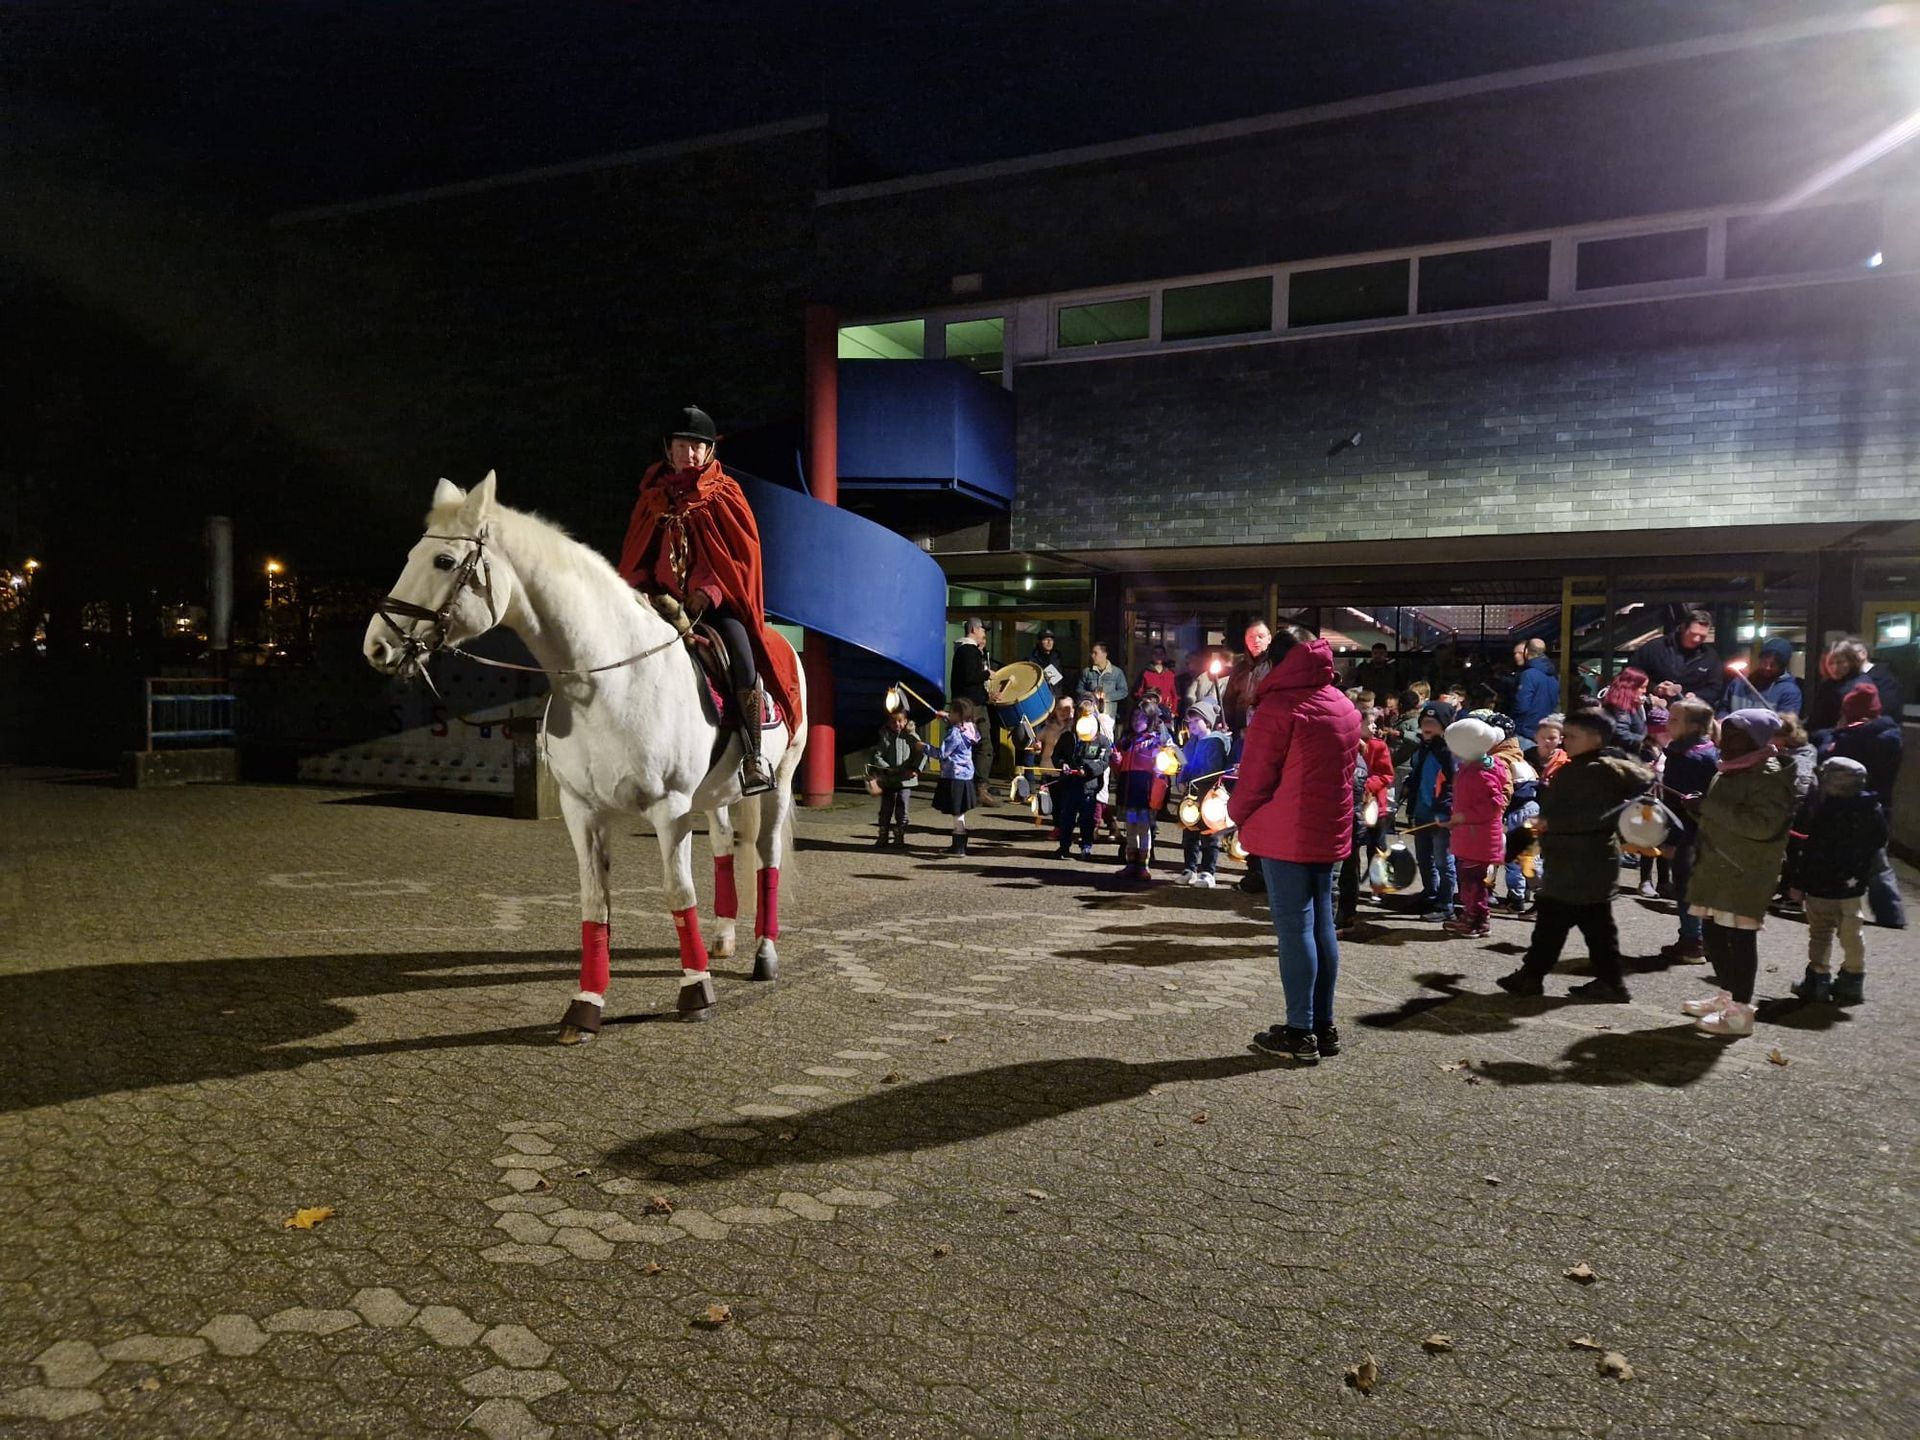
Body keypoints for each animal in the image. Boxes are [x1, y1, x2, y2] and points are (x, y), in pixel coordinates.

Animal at [363, 473, 805, 1042]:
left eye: (442, 561)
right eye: (412, 555)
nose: (377, 646)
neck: (606, 681)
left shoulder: (669, 809)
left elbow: (678, 892)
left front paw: (695, 990)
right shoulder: (583, 809)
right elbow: (595, 902)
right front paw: (585, 1005)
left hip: (779, 782)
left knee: (767, 856)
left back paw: (763, 954)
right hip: (714, 794)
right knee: (727, 847)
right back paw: (725, 938)